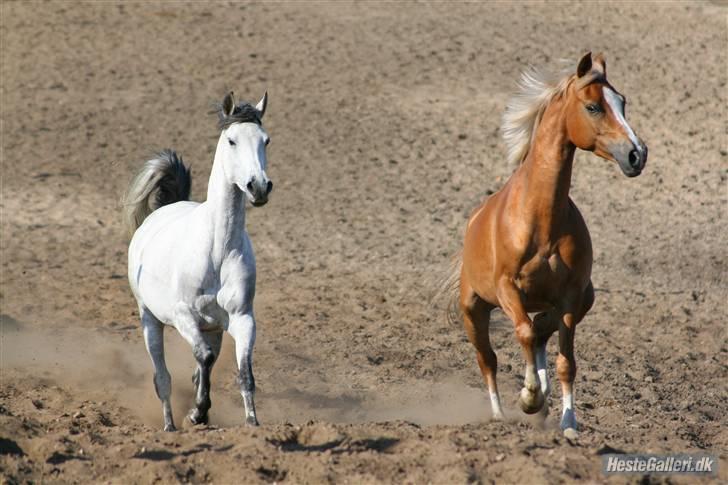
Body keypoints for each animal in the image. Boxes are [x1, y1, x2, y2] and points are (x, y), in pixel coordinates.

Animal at [125, 91, 272, 432]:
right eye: (232, 140)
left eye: (266, 140)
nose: (259, 187)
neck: (217, 251)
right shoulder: (182, 316)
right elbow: (201, 358)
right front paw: (197, 413)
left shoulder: (242, 318)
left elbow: (244, 372)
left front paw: (252, 422)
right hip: (150, 319)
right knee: (163, 378)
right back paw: (170, 425)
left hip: (214, 327)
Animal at [450, 52, 648, 434]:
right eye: (593, 107)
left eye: (622, 102)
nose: (637, 154)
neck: (541, 220)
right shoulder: (508, 289)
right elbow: (524, 334)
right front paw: (529, 397)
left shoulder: (570, 297)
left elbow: (565, 362)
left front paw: (567, 422)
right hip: (473, 309)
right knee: (489, 358)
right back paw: (499, 415)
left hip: (581, 299)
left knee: (542, 333)